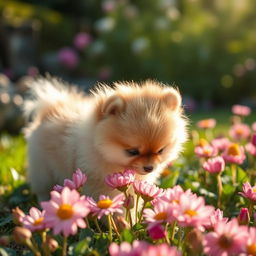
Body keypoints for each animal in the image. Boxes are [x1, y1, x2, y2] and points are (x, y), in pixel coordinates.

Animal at [23, 78, 188, 202]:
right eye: (132, 152)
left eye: (161, 150)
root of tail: (51, 108)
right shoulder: (97, 181)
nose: (149, 168)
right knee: (43, 188)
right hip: (42, 169)